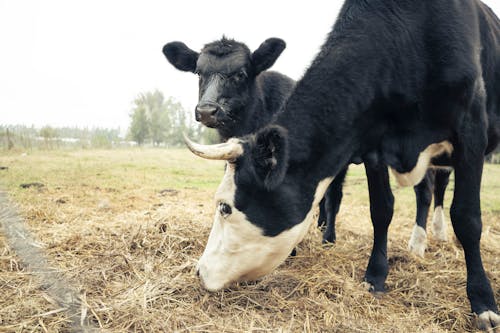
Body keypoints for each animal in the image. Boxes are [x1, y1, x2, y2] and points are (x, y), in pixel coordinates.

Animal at [185, 0, 500, 328]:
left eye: (225, 207)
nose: (199, 271)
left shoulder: (471, 132)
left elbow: (466, 218)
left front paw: (483, 301)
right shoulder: (375, 144)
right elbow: (381, 211)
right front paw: (375, 277)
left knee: (430, 193)